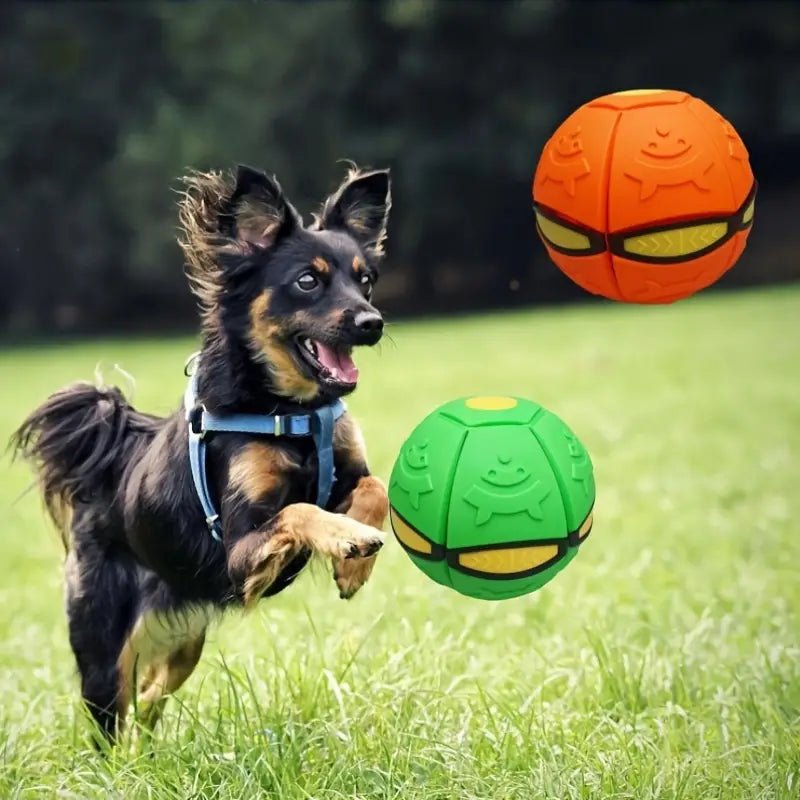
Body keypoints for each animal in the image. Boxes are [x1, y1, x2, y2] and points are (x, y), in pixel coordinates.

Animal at [12, 162, 394, 744]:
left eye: (365, 278)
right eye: (307, 281)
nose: (372, 323)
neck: (288, 409)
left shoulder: (345, 470)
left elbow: (375, 487)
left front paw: (355, 565)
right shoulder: (238, 550)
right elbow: (300, 510)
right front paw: (347, 539)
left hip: (183, 643)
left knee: (148, 701)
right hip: (105, 653)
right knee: (113, 721)